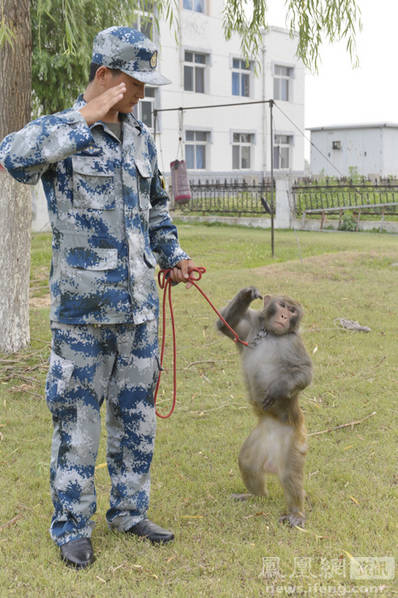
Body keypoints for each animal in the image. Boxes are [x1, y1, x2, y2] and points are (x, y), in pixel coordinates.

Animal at [216, 288, 312, 528]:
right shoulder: (250, 325)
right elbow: (225, 325)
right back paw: (255, 496)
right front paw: (247, 294)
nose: (285, 316)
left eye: (292, 310)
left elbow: (305, 373)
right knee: (247, 462)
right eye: (282, 306)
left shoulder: (293, 342)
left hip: (294, 440)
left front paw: (278, 390)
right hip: (261, 438)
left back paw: (296, 513)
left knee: (289, 475)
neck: (272, 334)